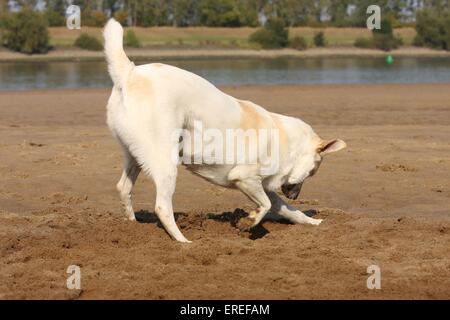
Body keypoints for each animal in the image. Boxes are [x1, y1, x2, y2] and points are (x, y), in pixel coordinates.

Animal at [103, 18, 346, 241]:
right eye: (313, 172)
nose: (296, 196)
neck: (289, 142)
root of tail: (129, 73)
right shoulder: (245, 178)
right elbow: (266, 205)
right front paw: (249, 222)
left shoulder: (263, 186)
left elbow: (288, 210)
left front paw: (314, 222)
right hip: (165, 163)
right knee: (162, 207)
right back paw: (183, 242)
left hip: (134, 156)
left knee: (123, 188)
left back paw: (132, 226)